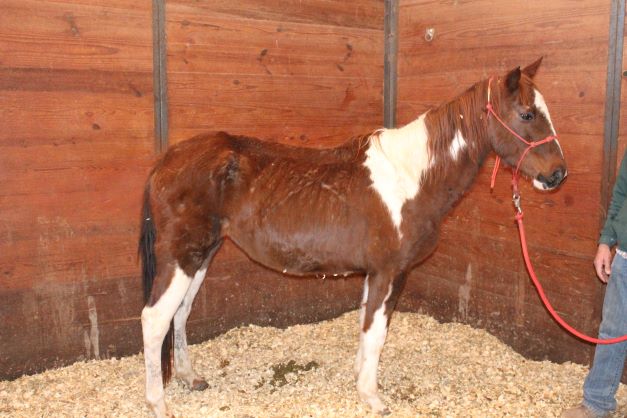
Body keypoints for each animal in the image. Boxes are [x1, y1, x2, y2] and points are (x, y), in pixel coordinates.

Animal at [140, 57, 568, 416]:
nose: (557, 174)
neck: (411, 178)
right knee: (155, 318)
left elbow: (365, 329)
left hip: (202, 255)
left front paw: (359, 382)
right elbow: (376, 333)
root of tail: (166, 160)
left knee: (180, 314)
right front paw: (372, 397)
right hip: (182, 256)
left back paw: (189, 378)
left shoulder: (373, 274)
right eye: (527, 113)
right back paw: (158, 404)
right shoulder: (389, 272)